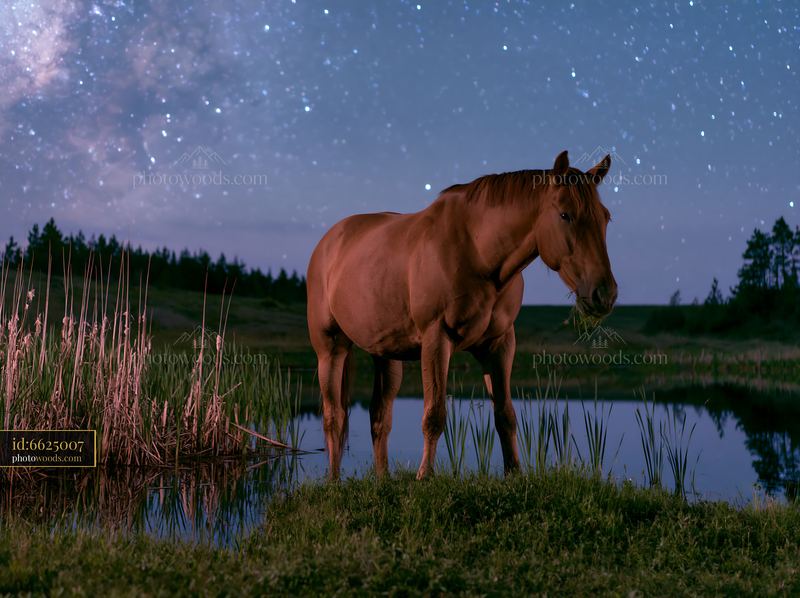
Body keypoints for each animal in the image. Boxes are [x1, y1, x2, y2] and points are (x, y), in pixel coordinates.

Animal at [306, 150, 617, 479]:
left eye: (605, 217)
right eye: (565, 215)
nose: (604, 294)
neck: (477, 252)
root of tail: (329, 242)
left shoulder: (500, 344)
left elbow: (505, 414)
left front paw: (514, 475)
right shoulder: (436, 339)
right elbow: (434, 415)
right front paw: (425, 478)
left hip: (386, 355)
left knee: (380, 416)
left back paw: (383, 481)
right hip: (330, 348)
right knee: (334, 416)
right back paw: (334, 481)